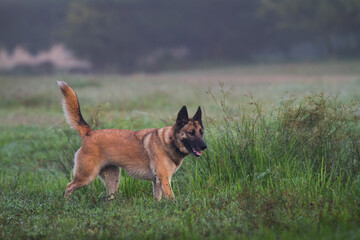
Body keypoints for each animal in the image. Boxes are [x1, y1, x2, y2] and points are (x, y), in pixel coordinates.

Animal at [57, 81, 207, 201]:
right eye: (191, 133)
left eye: (201, 132)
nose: (204, 146)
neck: (169, 141)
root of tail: (89, 132)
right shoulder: (164, 180)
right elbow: (172, 200)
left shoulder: (157, 182)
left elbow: (157, 200)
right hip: (86, 177)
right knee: (68, 187)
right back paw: (67, 205)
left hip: (113, 179)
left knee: (108, 198)